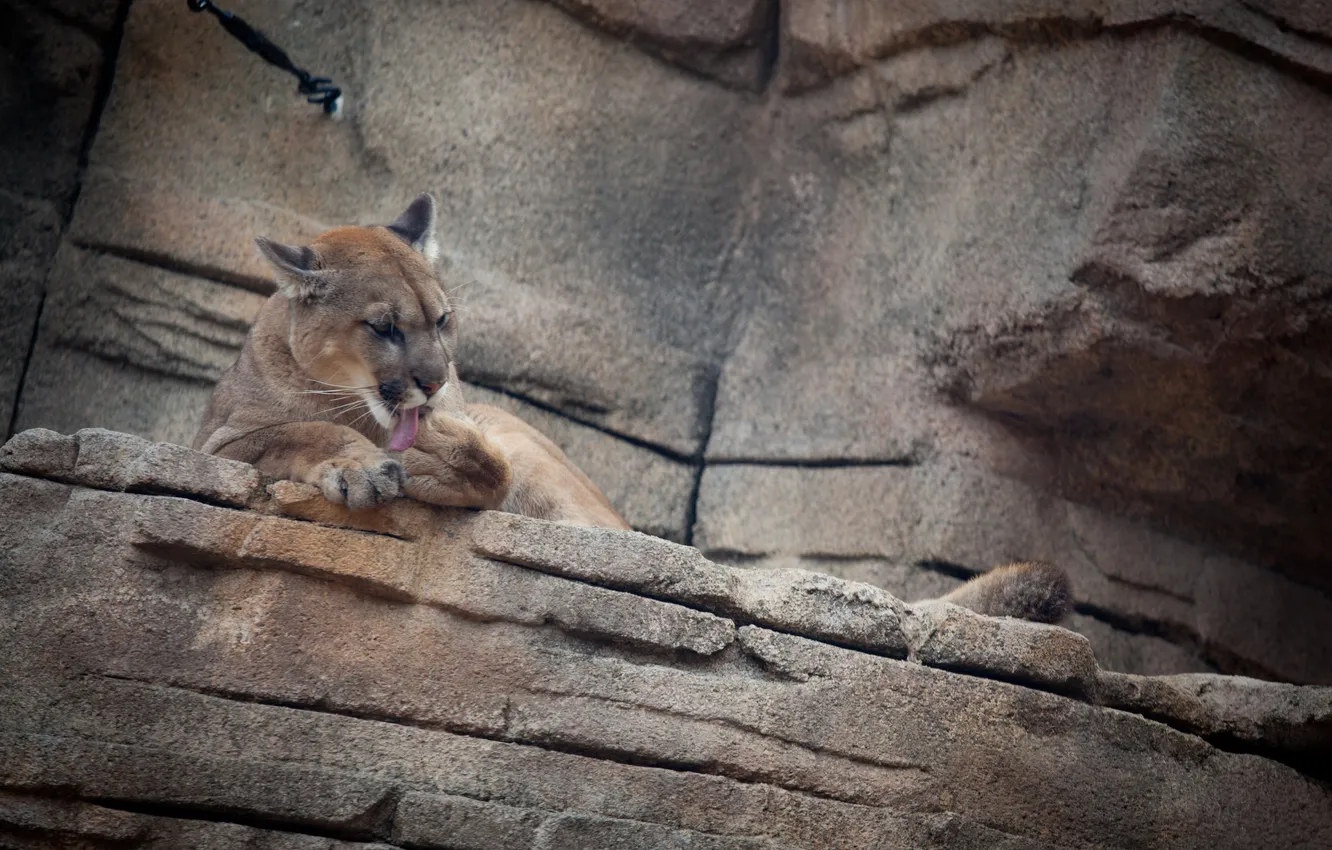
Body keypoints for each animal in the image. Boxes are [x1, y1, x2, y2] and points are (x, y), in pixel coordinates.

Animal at [193, 194, 1070, 623]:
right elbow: (295, 428)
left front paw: (408, 453)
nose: (438, 382)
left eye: (442, 320)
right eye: (384, 327)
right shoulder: (221, 441)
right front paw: (358, 465)